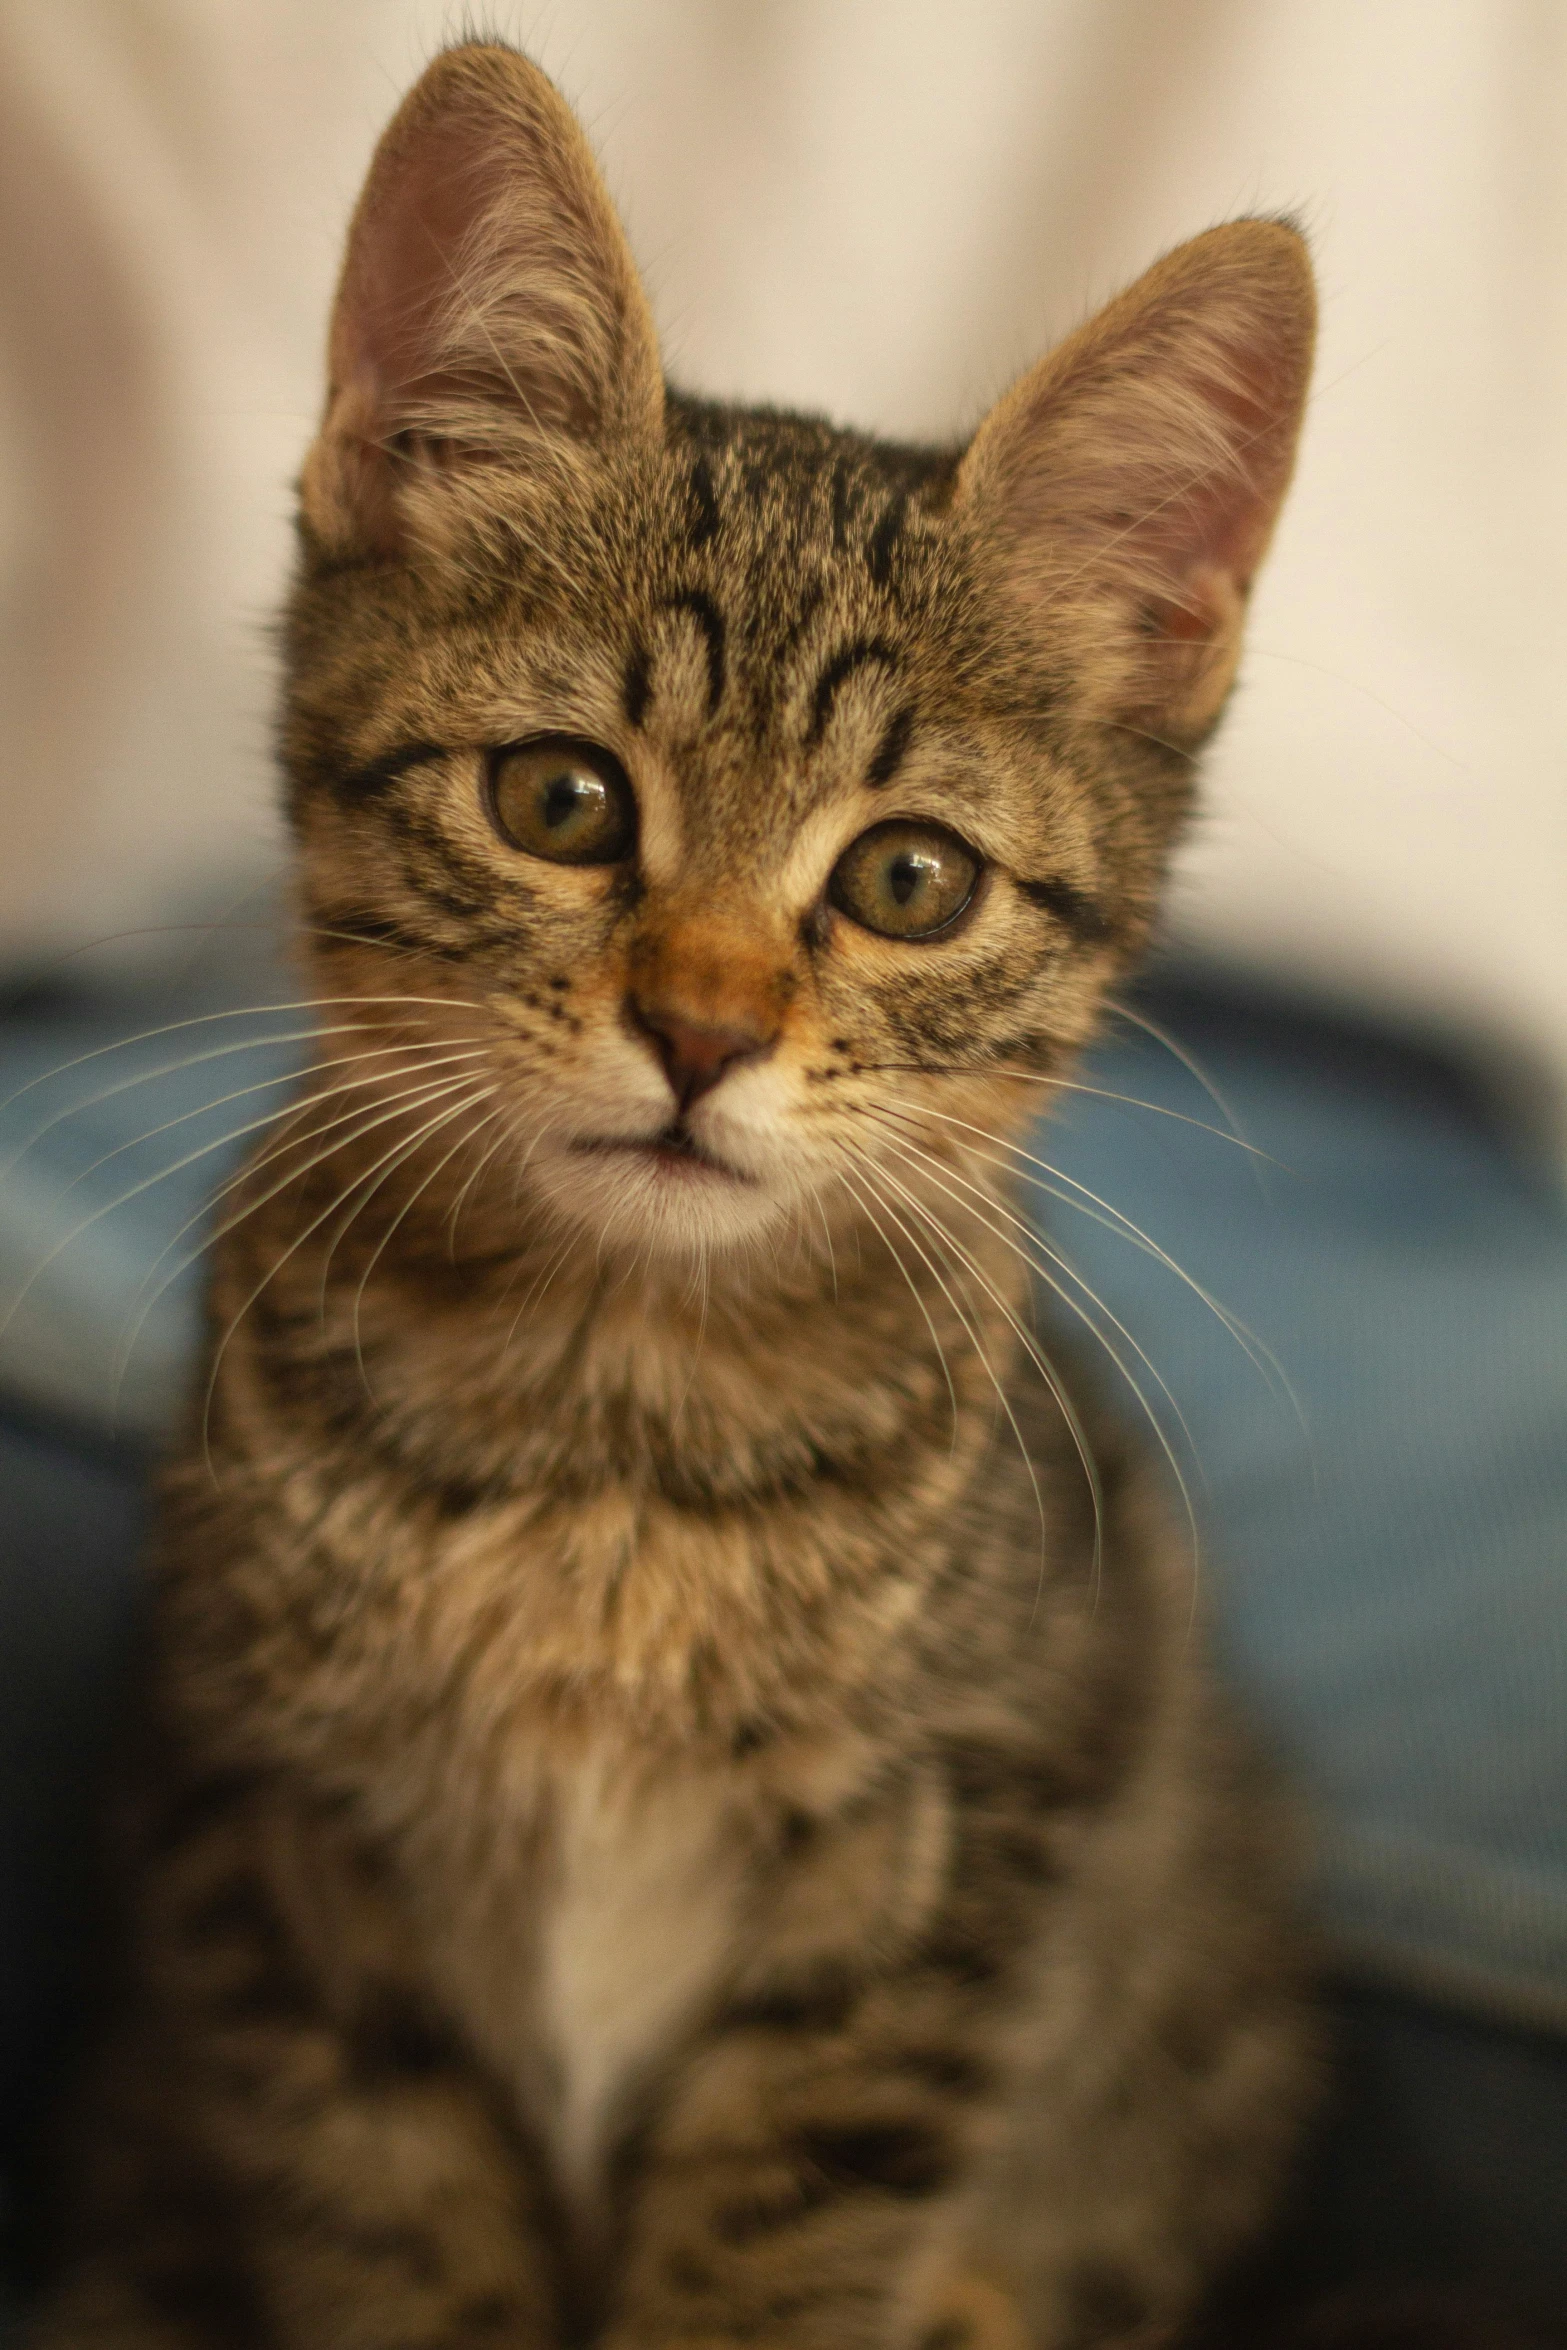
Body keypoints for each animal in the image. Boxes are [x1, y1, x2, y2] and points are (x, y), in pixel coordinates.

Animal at [27, 36, 1325, 2350]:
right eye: (560, 798)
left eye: (909, 880)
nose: (703, 1029)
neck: (609, 1434)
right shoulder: (263, 1846)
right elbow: (395, 2238)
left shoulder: (955, 1860)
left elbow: (769, 2257)